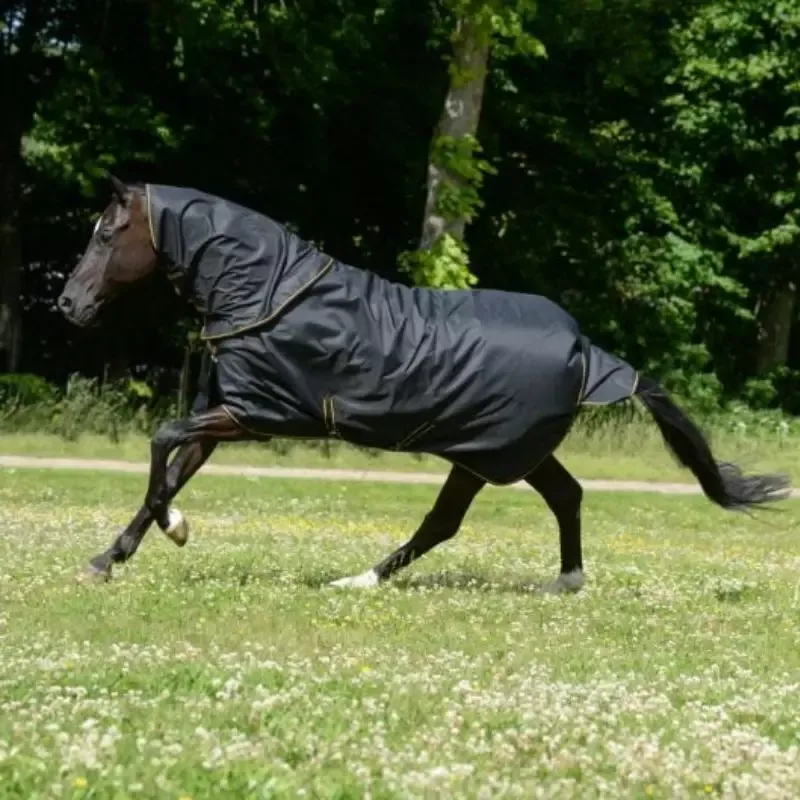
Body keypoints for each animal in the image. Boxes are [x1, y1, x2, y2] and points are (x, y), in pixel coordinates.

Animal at [58, 174, 790, 590]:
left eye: (107, 233)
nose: (68, 304)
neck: (268, 294)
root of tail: (591, 352)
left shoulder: (259, 414)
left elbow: (162, 441)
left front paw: (173, 529)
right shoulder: (229, 413)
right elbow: (174, 466)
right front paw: (108, 558)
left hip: (485, 452)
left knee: (447, 521)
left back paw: (360, 580)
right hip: (510, 452)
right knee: (566, 496)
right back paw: (566, 581)